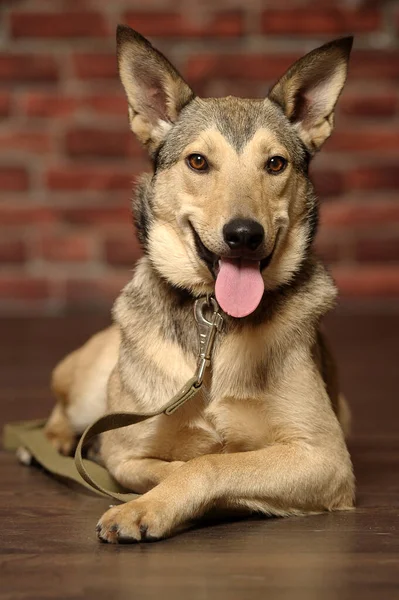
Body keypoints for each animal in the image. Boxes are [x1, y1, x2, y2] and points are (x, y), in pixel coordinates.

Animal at [44, 25, 356, 544]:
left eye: (275, 164)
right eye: (197, 162)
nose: (244, 234)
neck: (216, 322)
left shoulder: (323, 455)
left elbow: (210, 464)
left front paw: (155, 505)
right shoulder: (125, 452)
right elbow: (176, 461)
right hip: (90, 384)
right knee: (63, 405)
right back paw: (58, 438)